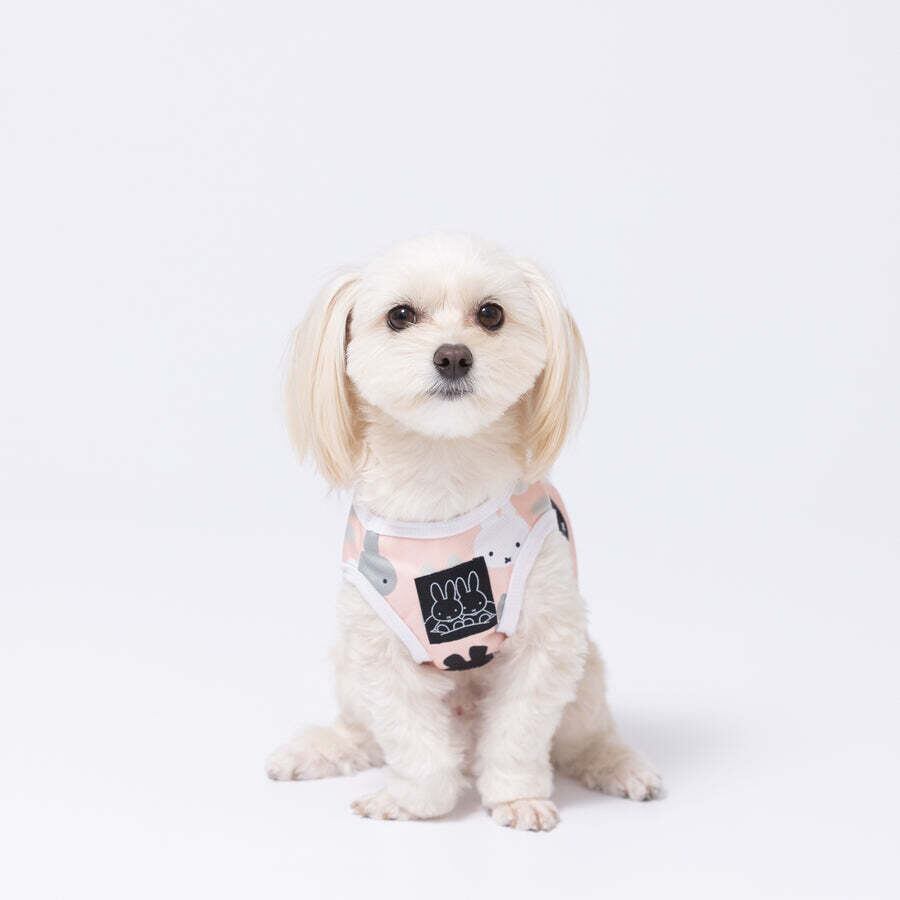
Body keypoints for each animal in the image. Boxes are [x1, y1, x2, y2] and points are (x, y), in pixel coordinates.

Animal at [266, 234, 661, 831]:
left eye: (491, 314)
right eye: (400, 315)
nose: (453, 355)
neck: (441, 472)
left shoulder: (546, 641)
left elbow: (519, 732)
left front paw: (517, 798)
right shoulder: (378, 652)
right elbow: (413, 742)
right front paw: (412, 801)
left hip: (587, 670)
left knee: (583, 737)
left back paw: (618, 766)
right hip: (348, 667)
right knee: (365, 734)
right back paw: (318, 749)